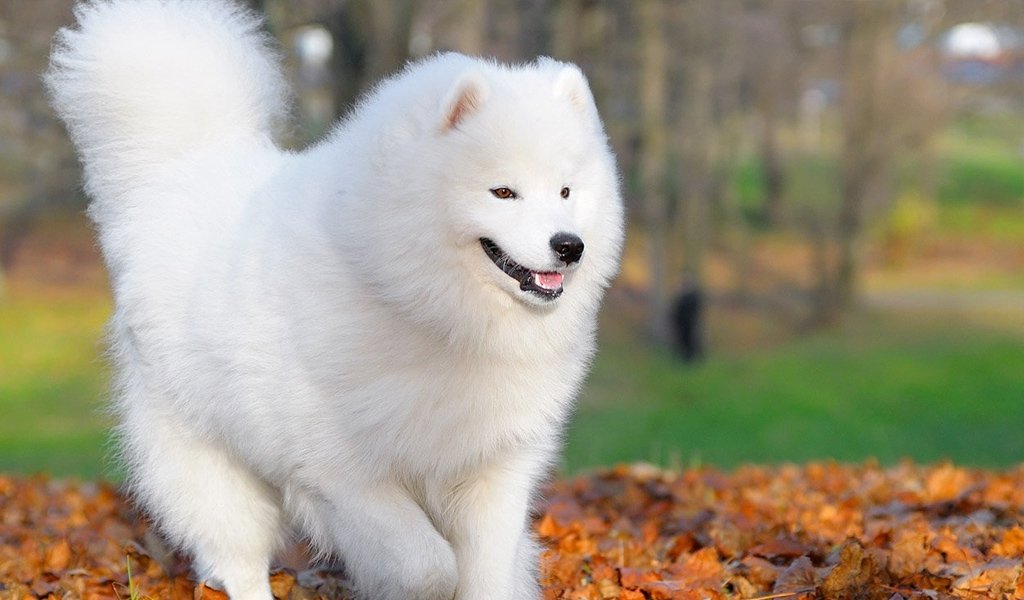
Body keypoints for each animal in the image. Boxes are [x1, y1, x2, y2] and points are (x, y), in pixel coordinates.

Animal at [46, 1, 622, 597]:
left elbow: (486, 569)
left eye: (566, 191)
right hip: (209, 457)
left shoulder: (494, 467)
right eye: (503, 192)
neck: (424, 307)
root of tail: (182, 166)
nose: (569, 245)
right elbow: (426, 564)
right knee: (236, 555)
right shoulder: (344, 472)